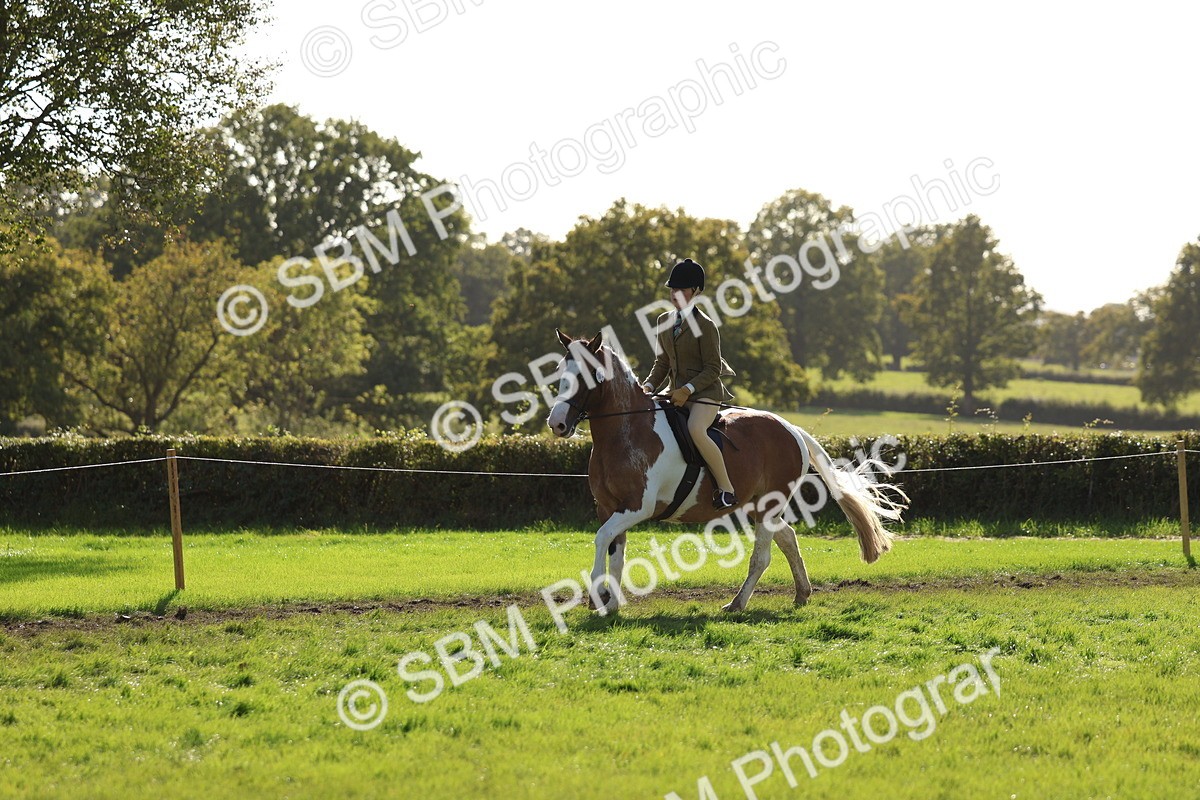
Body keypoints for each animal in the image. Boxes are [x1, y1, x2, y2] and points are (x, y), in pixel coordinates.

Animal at [545, 329, 908, 615]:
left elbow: (601, 538)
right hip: (755, 504)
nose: (557, 424)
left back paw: (737, 604)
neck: (626, 429)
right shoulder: (609, 507)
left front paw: (598, 595)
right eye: (560, 371)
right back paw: (801, 594)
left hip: (768, 504)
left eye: (586, 376)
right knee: (788, 537)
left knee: (763, 556)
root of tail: (790, 428)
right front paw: (610, 604)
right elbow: (615, 551)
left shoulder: (637, 507)